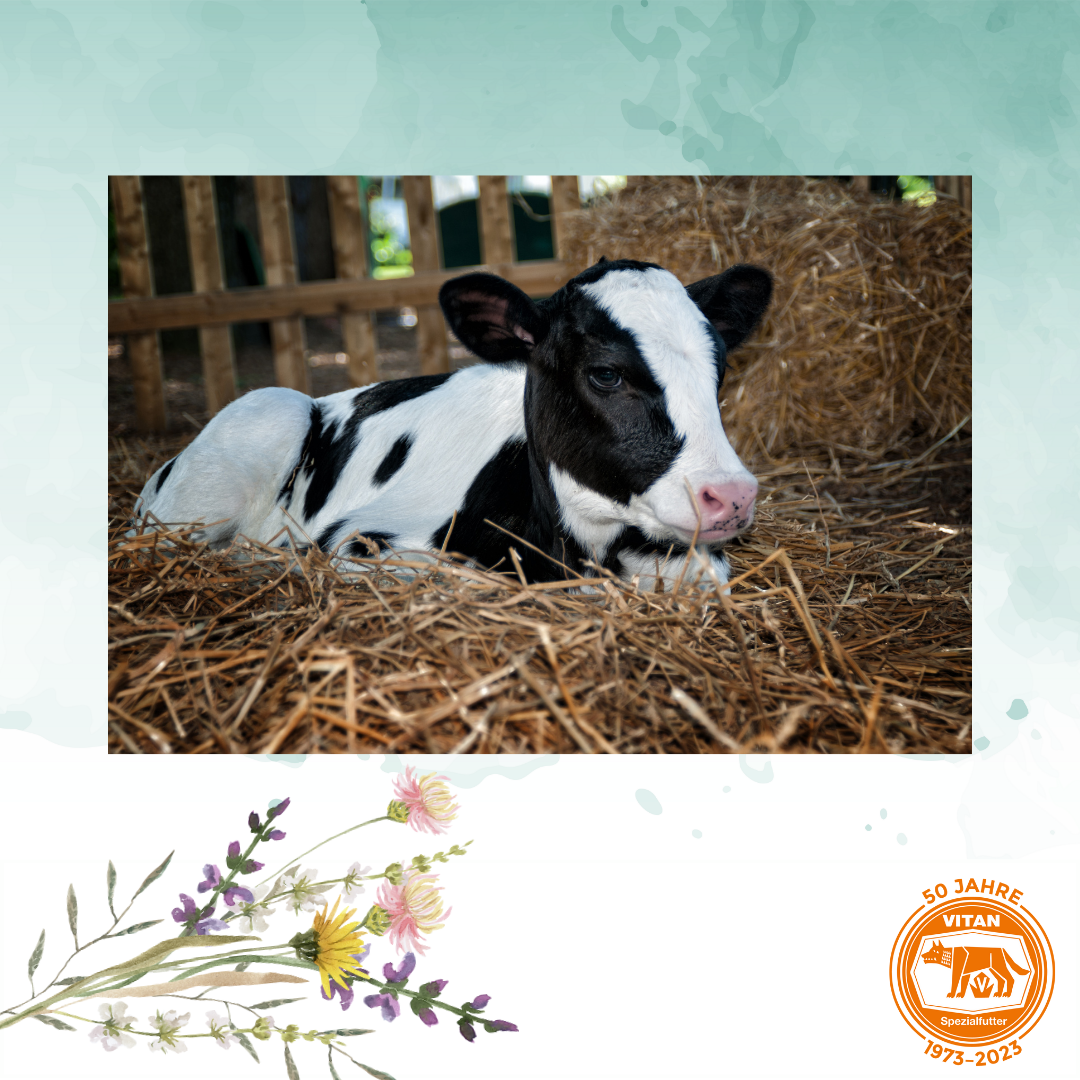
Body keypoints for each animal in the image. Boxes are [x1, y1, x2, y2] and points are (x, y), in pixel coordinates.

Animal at [133, 258, 772, 589]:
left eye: (718, 368)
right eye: (607, 374)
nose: (733, 495)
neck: (575, 548)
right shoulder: (360, 543)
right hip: (261, 422)